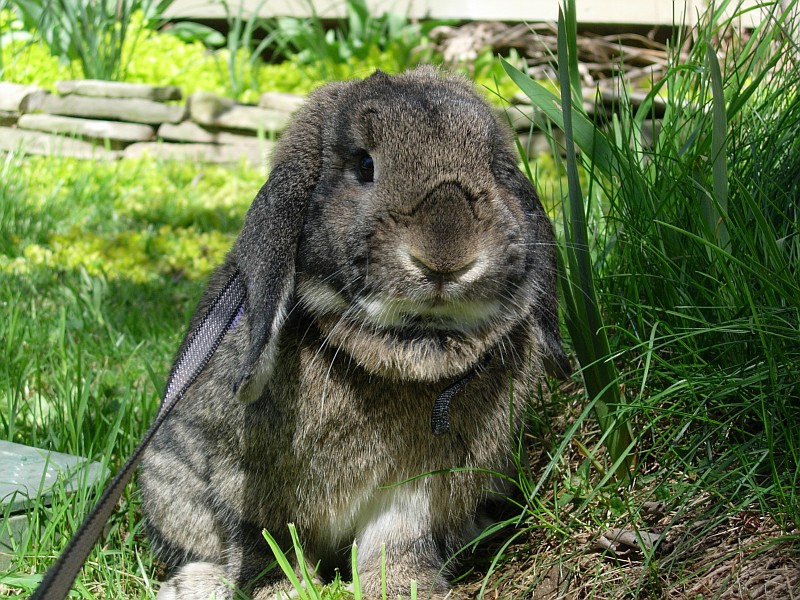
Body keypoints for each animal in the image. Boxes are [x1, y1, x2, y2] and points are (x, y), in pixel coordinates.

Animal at [139, 67, 568, 600]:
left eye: (492, 166)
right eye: (364, 165)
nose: (445, 257)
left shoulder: (413, 493)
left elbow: (396, 544)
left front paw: (408, 589)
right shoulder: (249, 488)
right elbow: (265, 549)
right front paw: (287, 592)